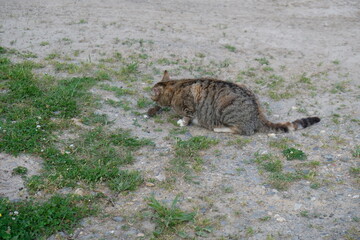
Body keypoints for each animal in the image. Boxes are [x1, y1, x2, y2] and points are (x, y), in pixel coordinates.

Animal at [148, 70, 320, 136]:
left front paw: (182, 122)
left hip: (226, 111)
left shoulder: (189, 105)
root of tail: (258, 114)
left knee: (243, 131)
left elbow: (187, 116)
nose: (150, 98)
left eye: (152, 95)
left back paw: (219, 128)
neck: (176, 87)